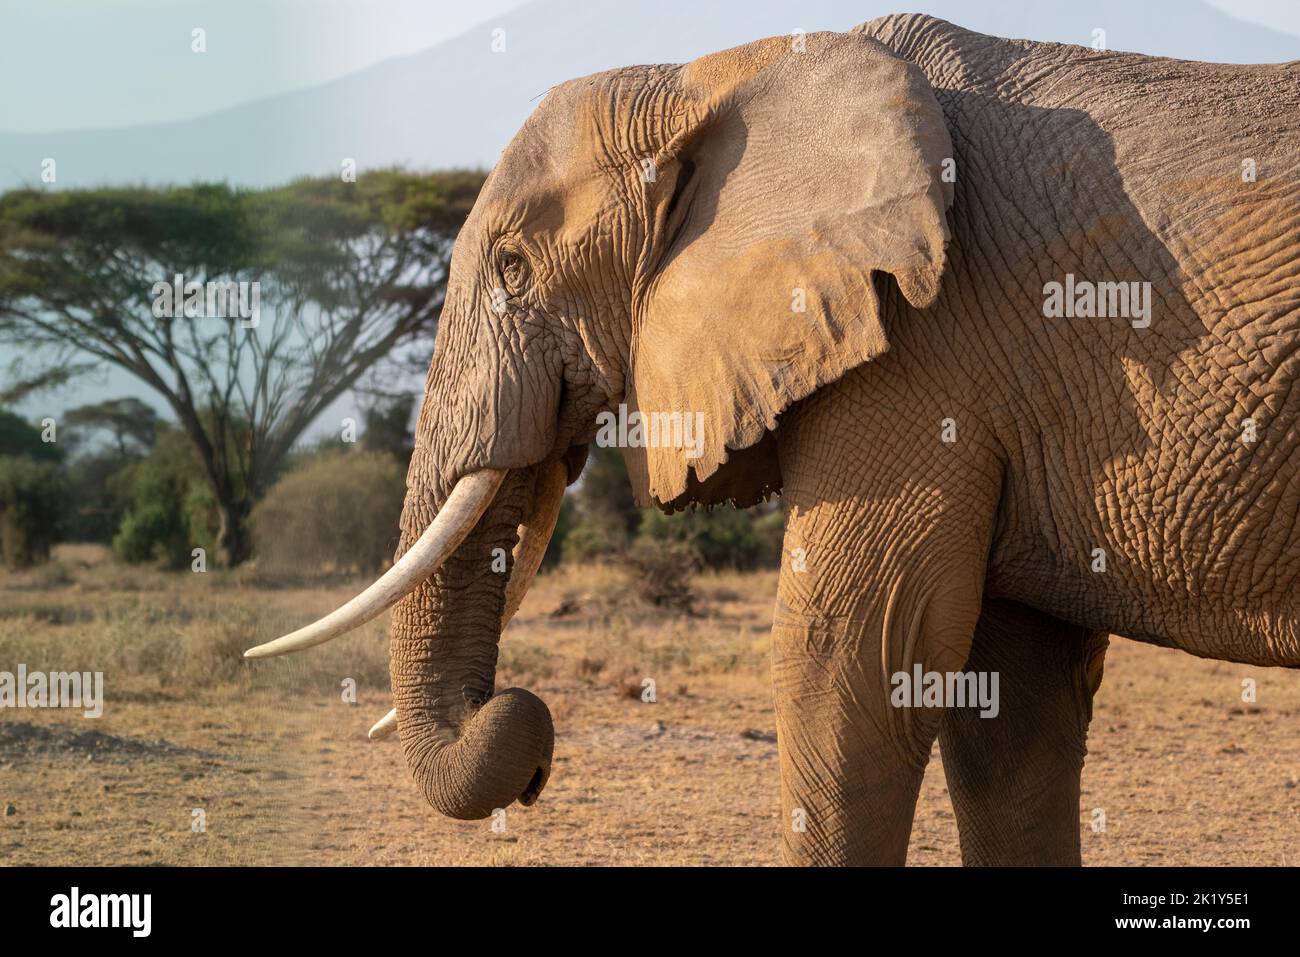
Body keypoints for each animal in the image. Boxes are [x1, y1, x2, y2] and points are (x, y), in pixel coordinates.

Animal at [244, 13, 1300, 868]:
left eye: (511, 267)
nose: (531, 748)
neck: (711, 77)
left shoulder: (922, 345)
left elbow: (848, 661)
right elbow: (1010, 711)